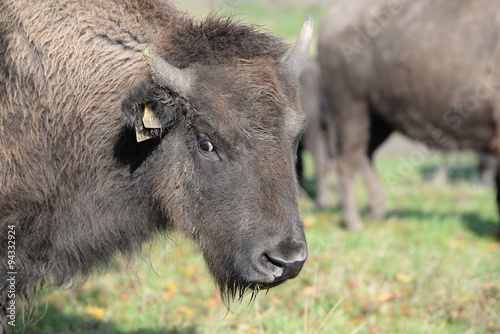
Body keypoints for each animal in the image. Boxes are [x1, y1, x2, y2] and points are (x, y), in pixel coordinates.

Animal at [318, 0, 500, 230]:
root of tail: (332, 18)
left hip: (379, 119)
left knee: (364, 153)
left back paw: (376, 210)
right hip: (351, 109)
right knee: (346, 159)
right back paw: (354, 222)